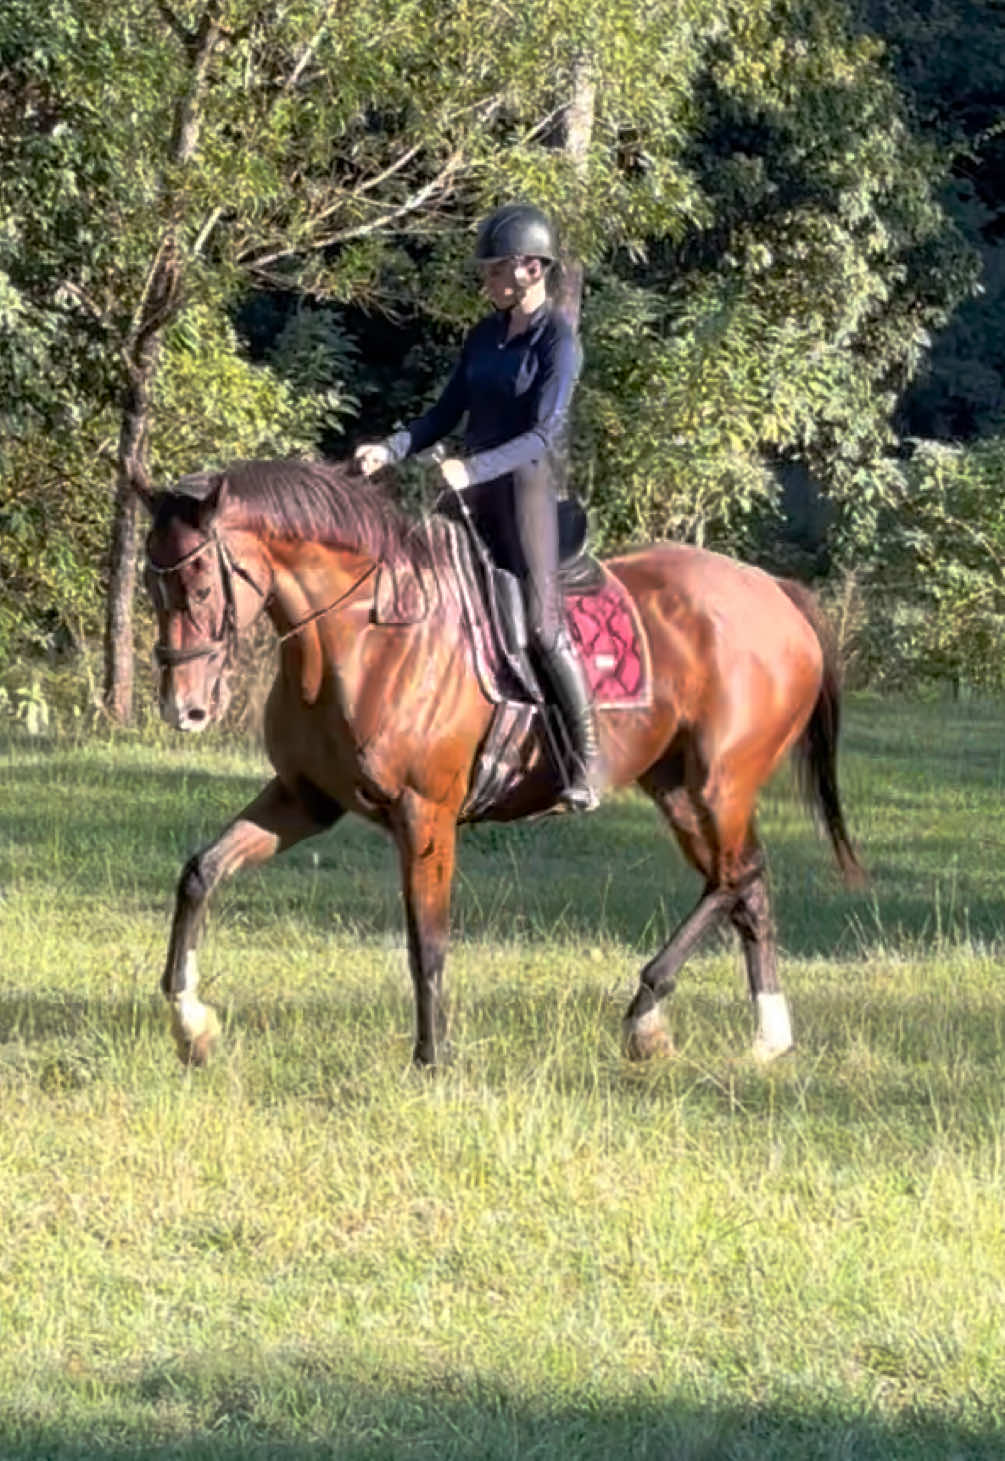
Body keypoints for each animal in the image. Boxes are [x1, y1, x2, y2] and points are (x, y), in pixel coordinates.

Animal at [141, 457, 863, 1069]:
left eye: (200, 584)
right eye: (151, 582)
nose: (184, 708)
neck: (364, 638)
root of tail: (774, 591)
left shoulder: (424, 813)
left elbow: (426, 940)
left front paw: (432, 1060)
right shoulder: (303, 797)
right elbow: (200, 874)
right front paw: (190, 1023)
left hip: (721, 783)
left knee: (738, 876)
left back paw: (646, 1015)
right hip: (680, 791)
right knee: (743, 887)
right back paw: (765, 1037)